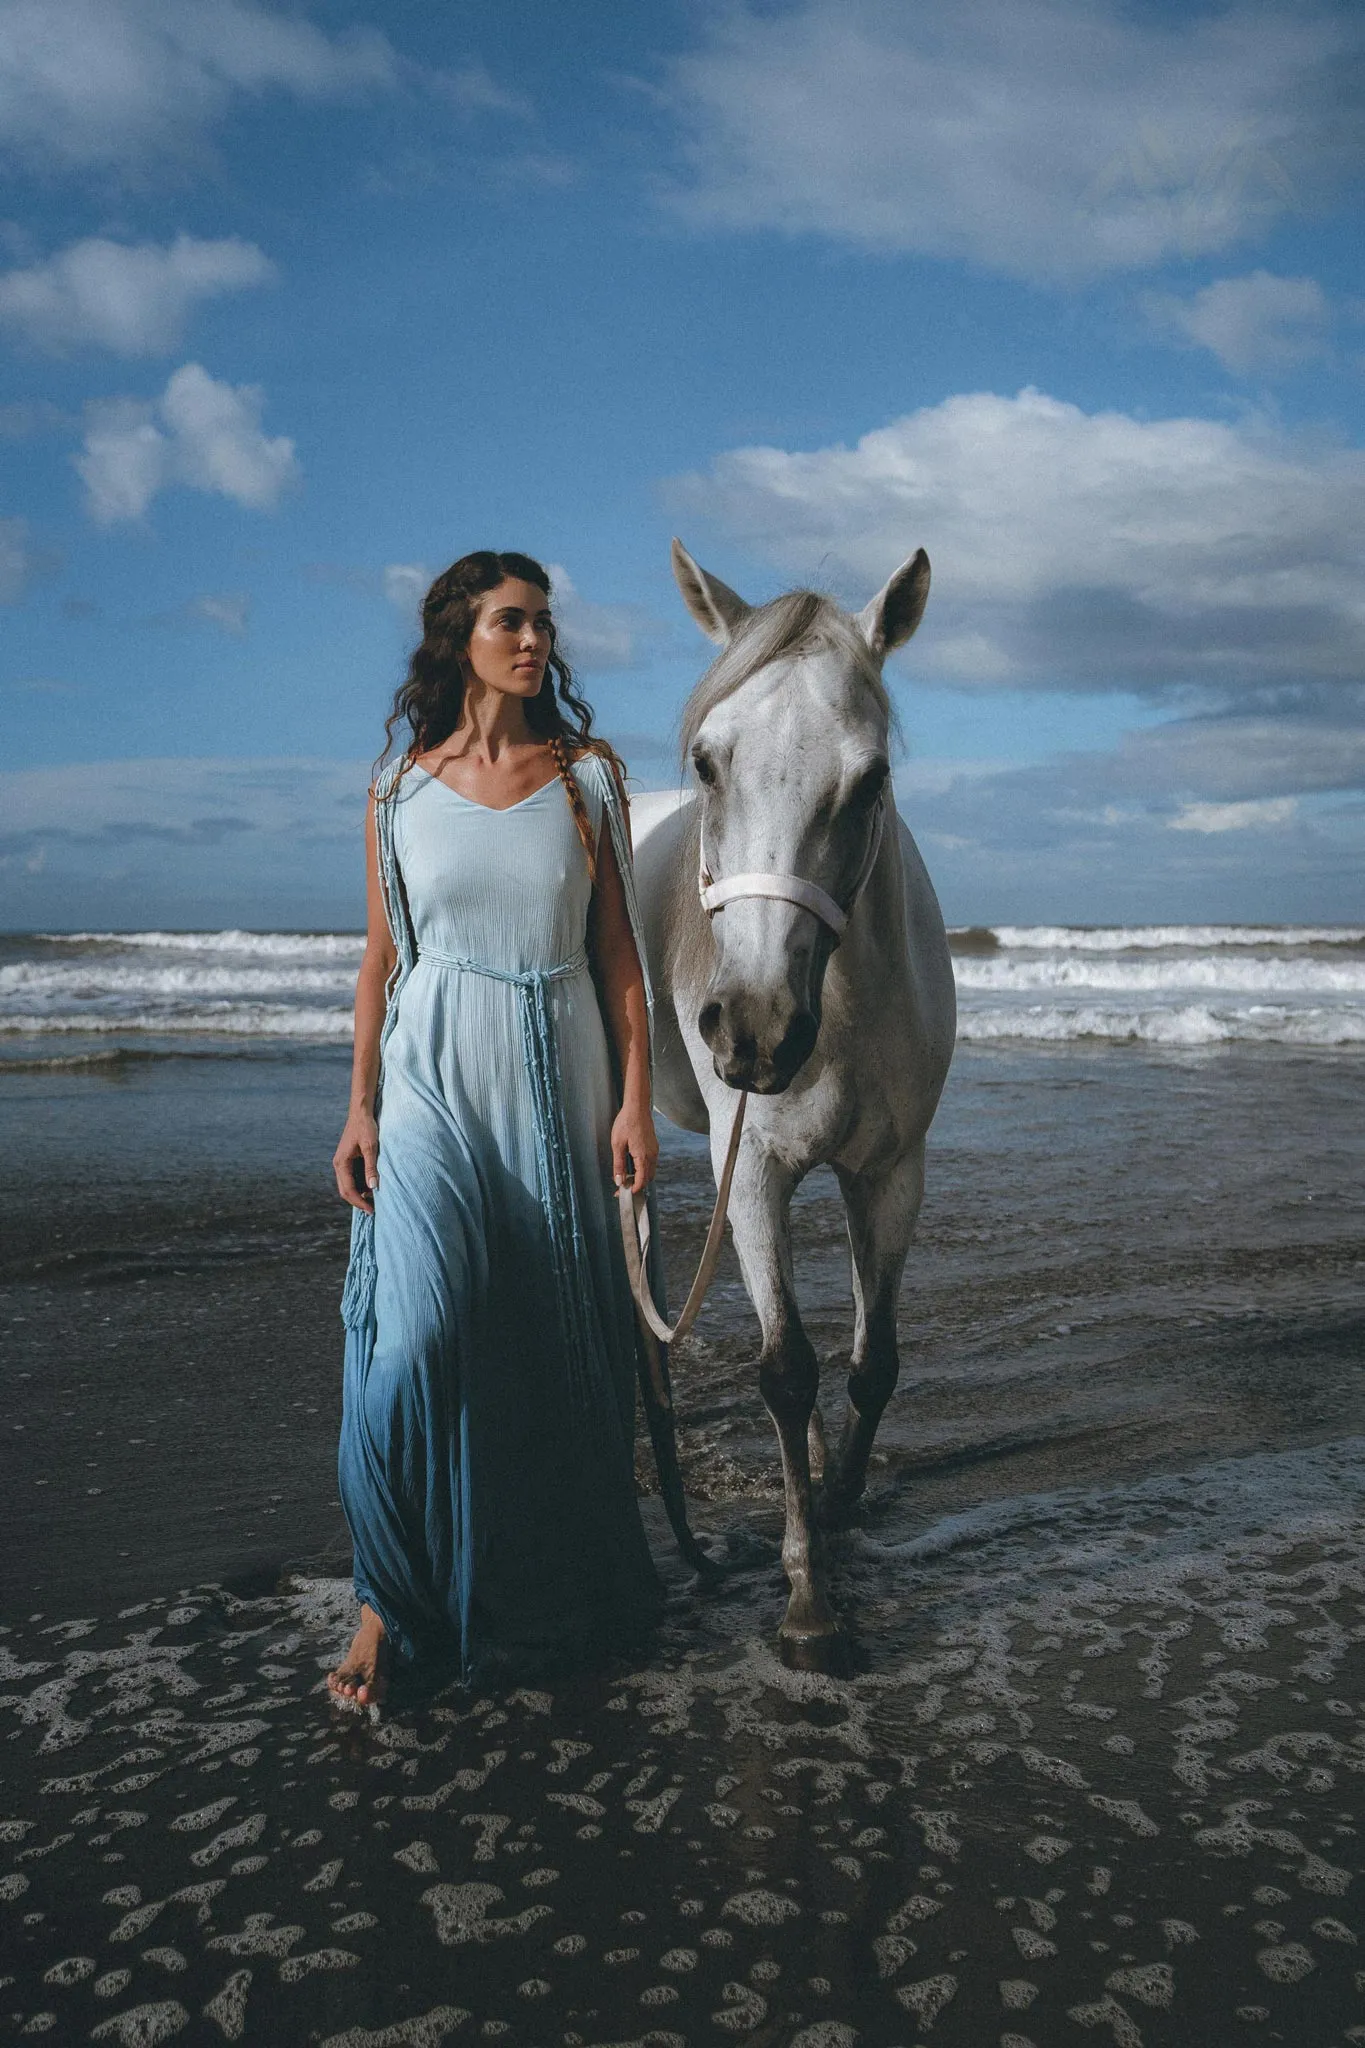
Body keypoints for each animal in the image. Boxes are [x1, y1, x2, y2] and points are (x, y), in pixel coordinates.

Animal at [634, 540, 957, 1662]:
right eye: (705, 761)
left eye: (872, 778)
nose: (754, 1028)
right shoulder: (754, 1176)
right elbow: (782, 1369)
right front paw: (809, 1601)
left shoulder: (892, 1174)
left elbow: (870, 1362)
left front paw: (843, 1500)